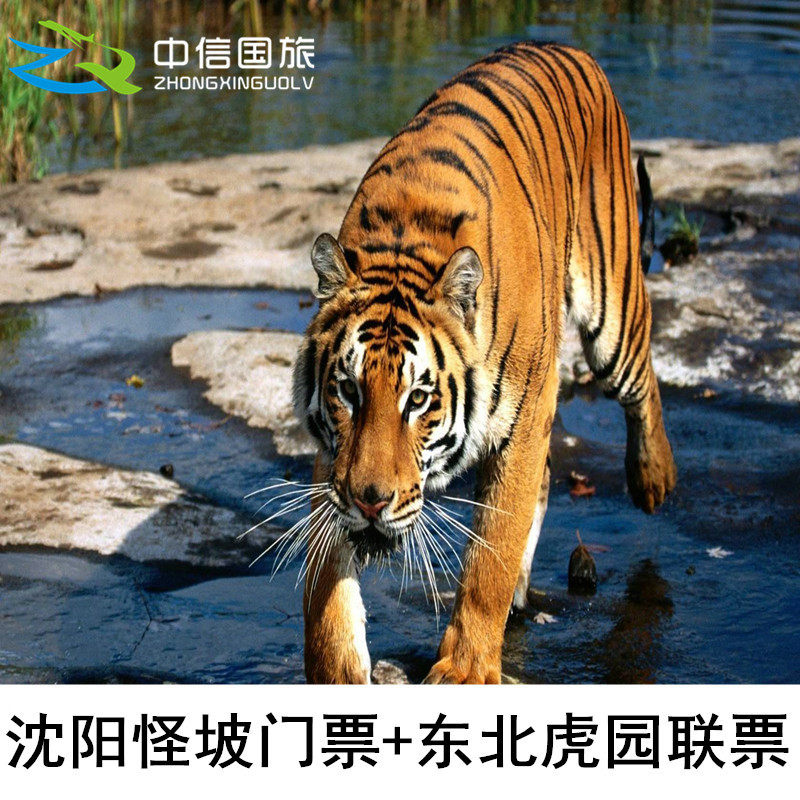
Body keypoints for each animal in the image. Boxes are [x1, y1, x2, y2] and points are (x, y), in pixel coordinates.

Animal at [292, 40, 677, 684]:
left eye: (418, 399)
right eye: (347, 390)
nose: (371, 502)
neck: (405, 242)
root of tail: (568, 46)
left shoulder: (525, 416)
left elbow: (490, 555)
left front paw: (465, 672)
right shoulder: (336, 456)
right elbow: (326, 580)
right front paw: (338, 669)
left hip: (611, 307)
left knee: (641, 379)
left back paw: (654, 478)